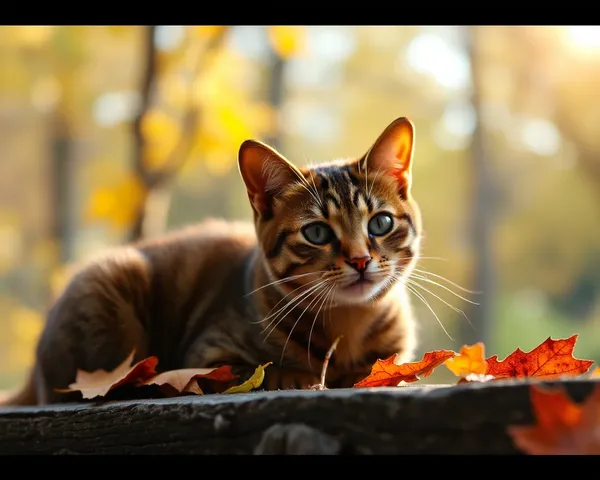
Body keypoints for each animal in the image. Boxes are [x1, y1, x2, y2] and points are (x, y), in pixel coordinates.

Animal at [2, 116, 422, 404]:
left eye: (380, 223)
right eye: (317, 233)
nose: (360, 260)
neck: (348, 325)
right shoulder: (208, 357)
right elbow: (263, 370)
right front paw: (298, 376)